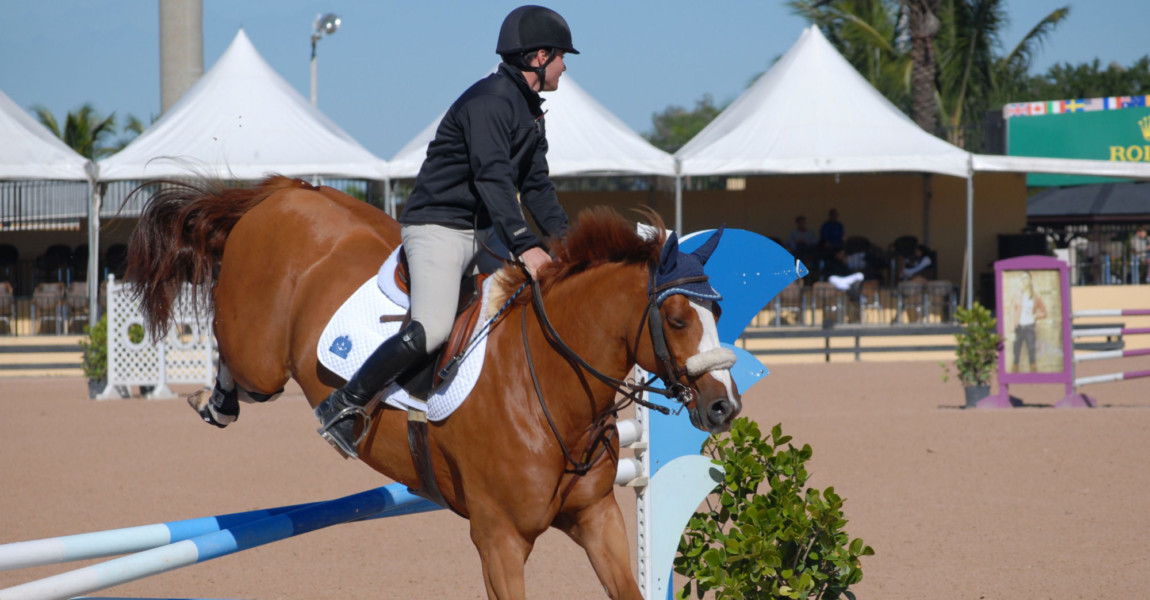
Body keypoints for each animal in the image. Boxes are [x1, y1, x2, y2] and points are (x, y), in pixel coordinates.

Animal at [121, 175, 740, 597]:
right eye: (678, 319)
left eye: (719, 311)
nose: (723, 408)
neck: (549, 387)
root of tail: (285, 191)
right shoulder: (498, 540)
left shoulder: (598, 519)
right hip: (261, 358)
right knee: (233, 355)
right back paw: (218, 402)